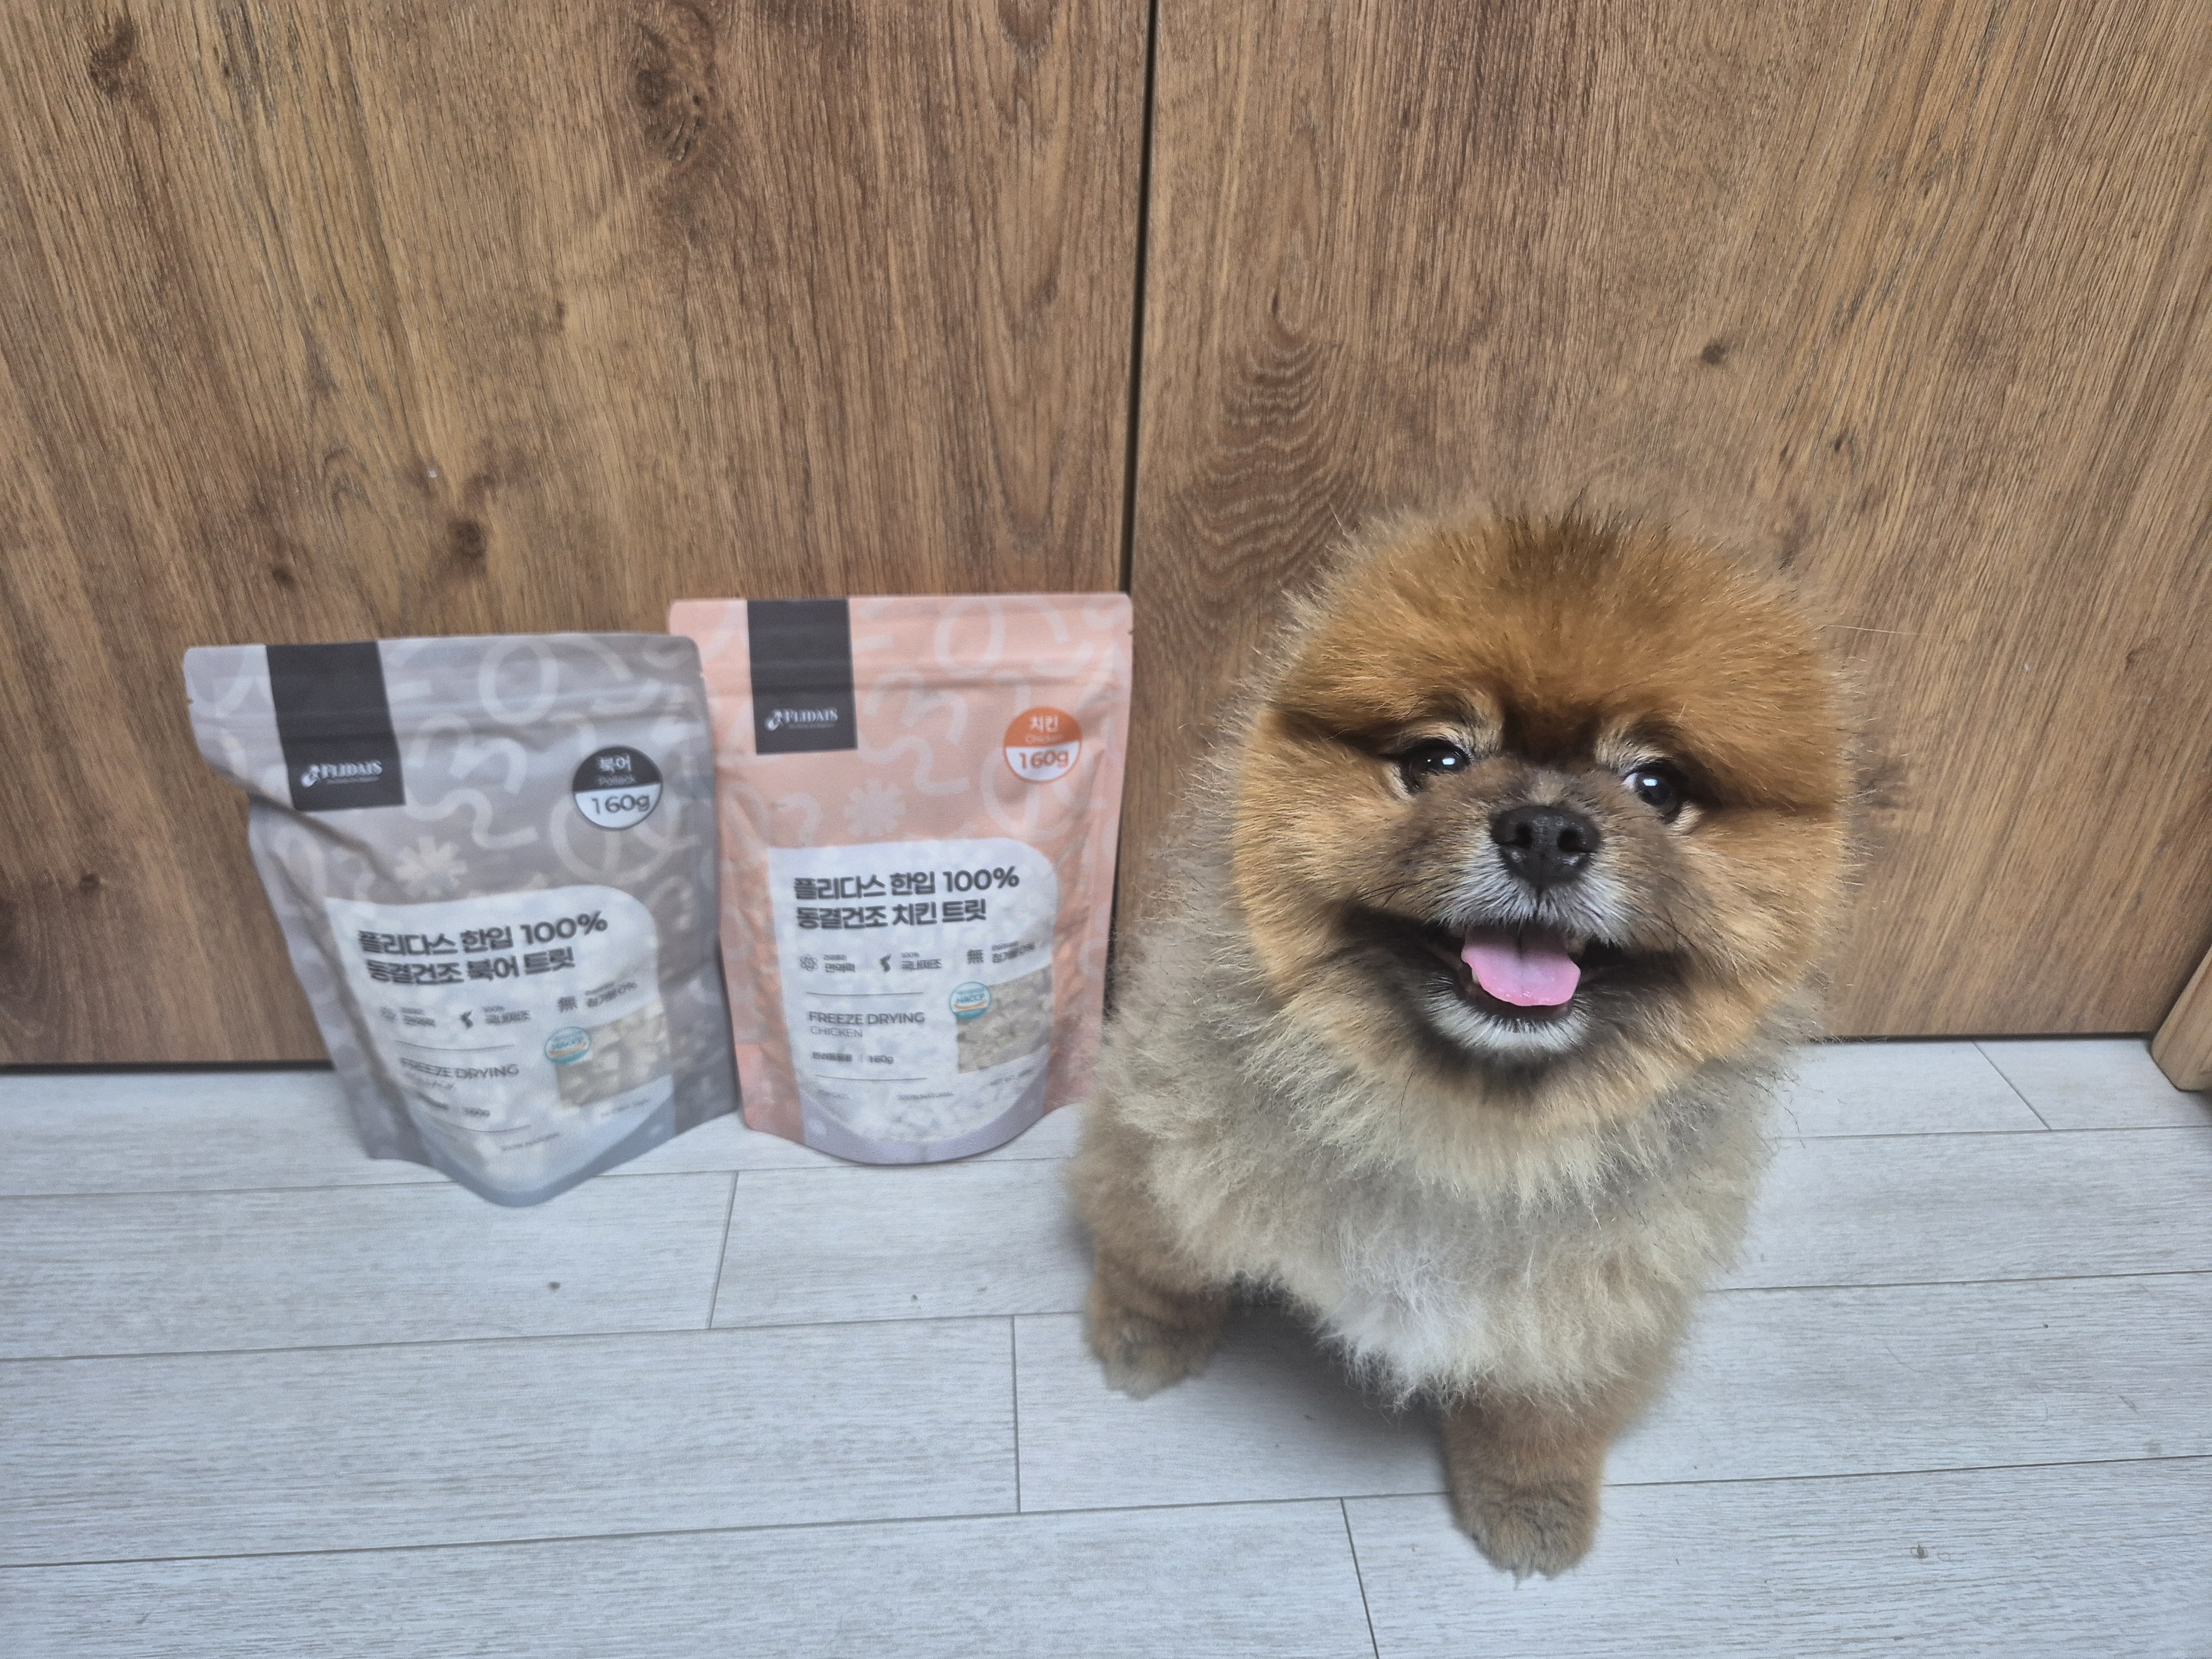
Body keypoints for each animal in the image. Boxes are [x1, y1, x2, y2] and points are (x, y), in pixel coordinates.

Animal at [1070, 511, 1852, 1575]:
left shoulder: (1606, 1283)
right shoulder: (1179, 1140)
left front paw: (1531, 1498)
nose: (1547, 831)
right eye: (1439, 760)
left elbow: (1542, 1407)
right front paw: (1146, 1330)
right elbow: (1162, 1252)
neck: (1462, 1123)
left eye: (1657, 785)